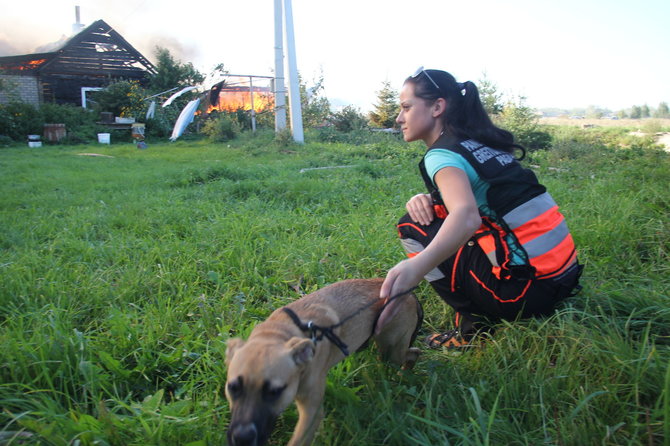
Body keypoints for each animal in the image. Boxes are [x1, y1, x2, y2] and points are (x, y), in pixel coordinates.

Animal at [228, 278, 422, 446]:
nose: (242, 438)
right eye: (232, 388)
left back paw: (403, 375)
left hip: (392, 350)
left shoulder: (310, 412)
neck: (280, 333)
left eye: (274, 391)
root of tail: (410, 294)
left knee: (413, 353)